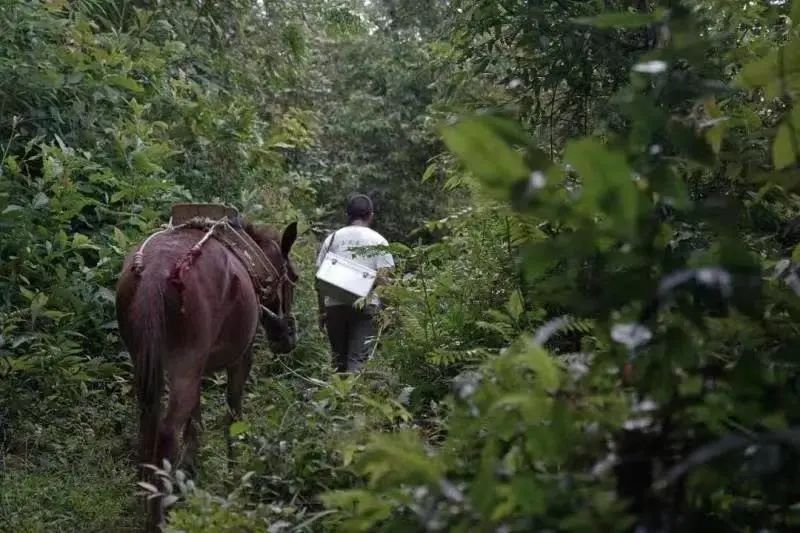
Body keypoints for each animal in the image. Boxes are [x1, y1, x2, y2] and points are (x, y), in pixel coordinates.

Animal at [115, 219, 299, 531]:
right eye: (294, 279)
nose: (286, 339)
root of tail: (154, 273)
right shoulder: (240, 358)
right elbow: (232, 414)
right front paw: (235, 473)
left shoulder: (197, 369)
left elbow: (196, 422)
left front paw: (189, 474)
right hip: (183, 365)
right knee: (167, 430)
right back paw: (158, 516)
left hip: (148, 361)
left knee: (148, 420)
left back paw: (147, 494)